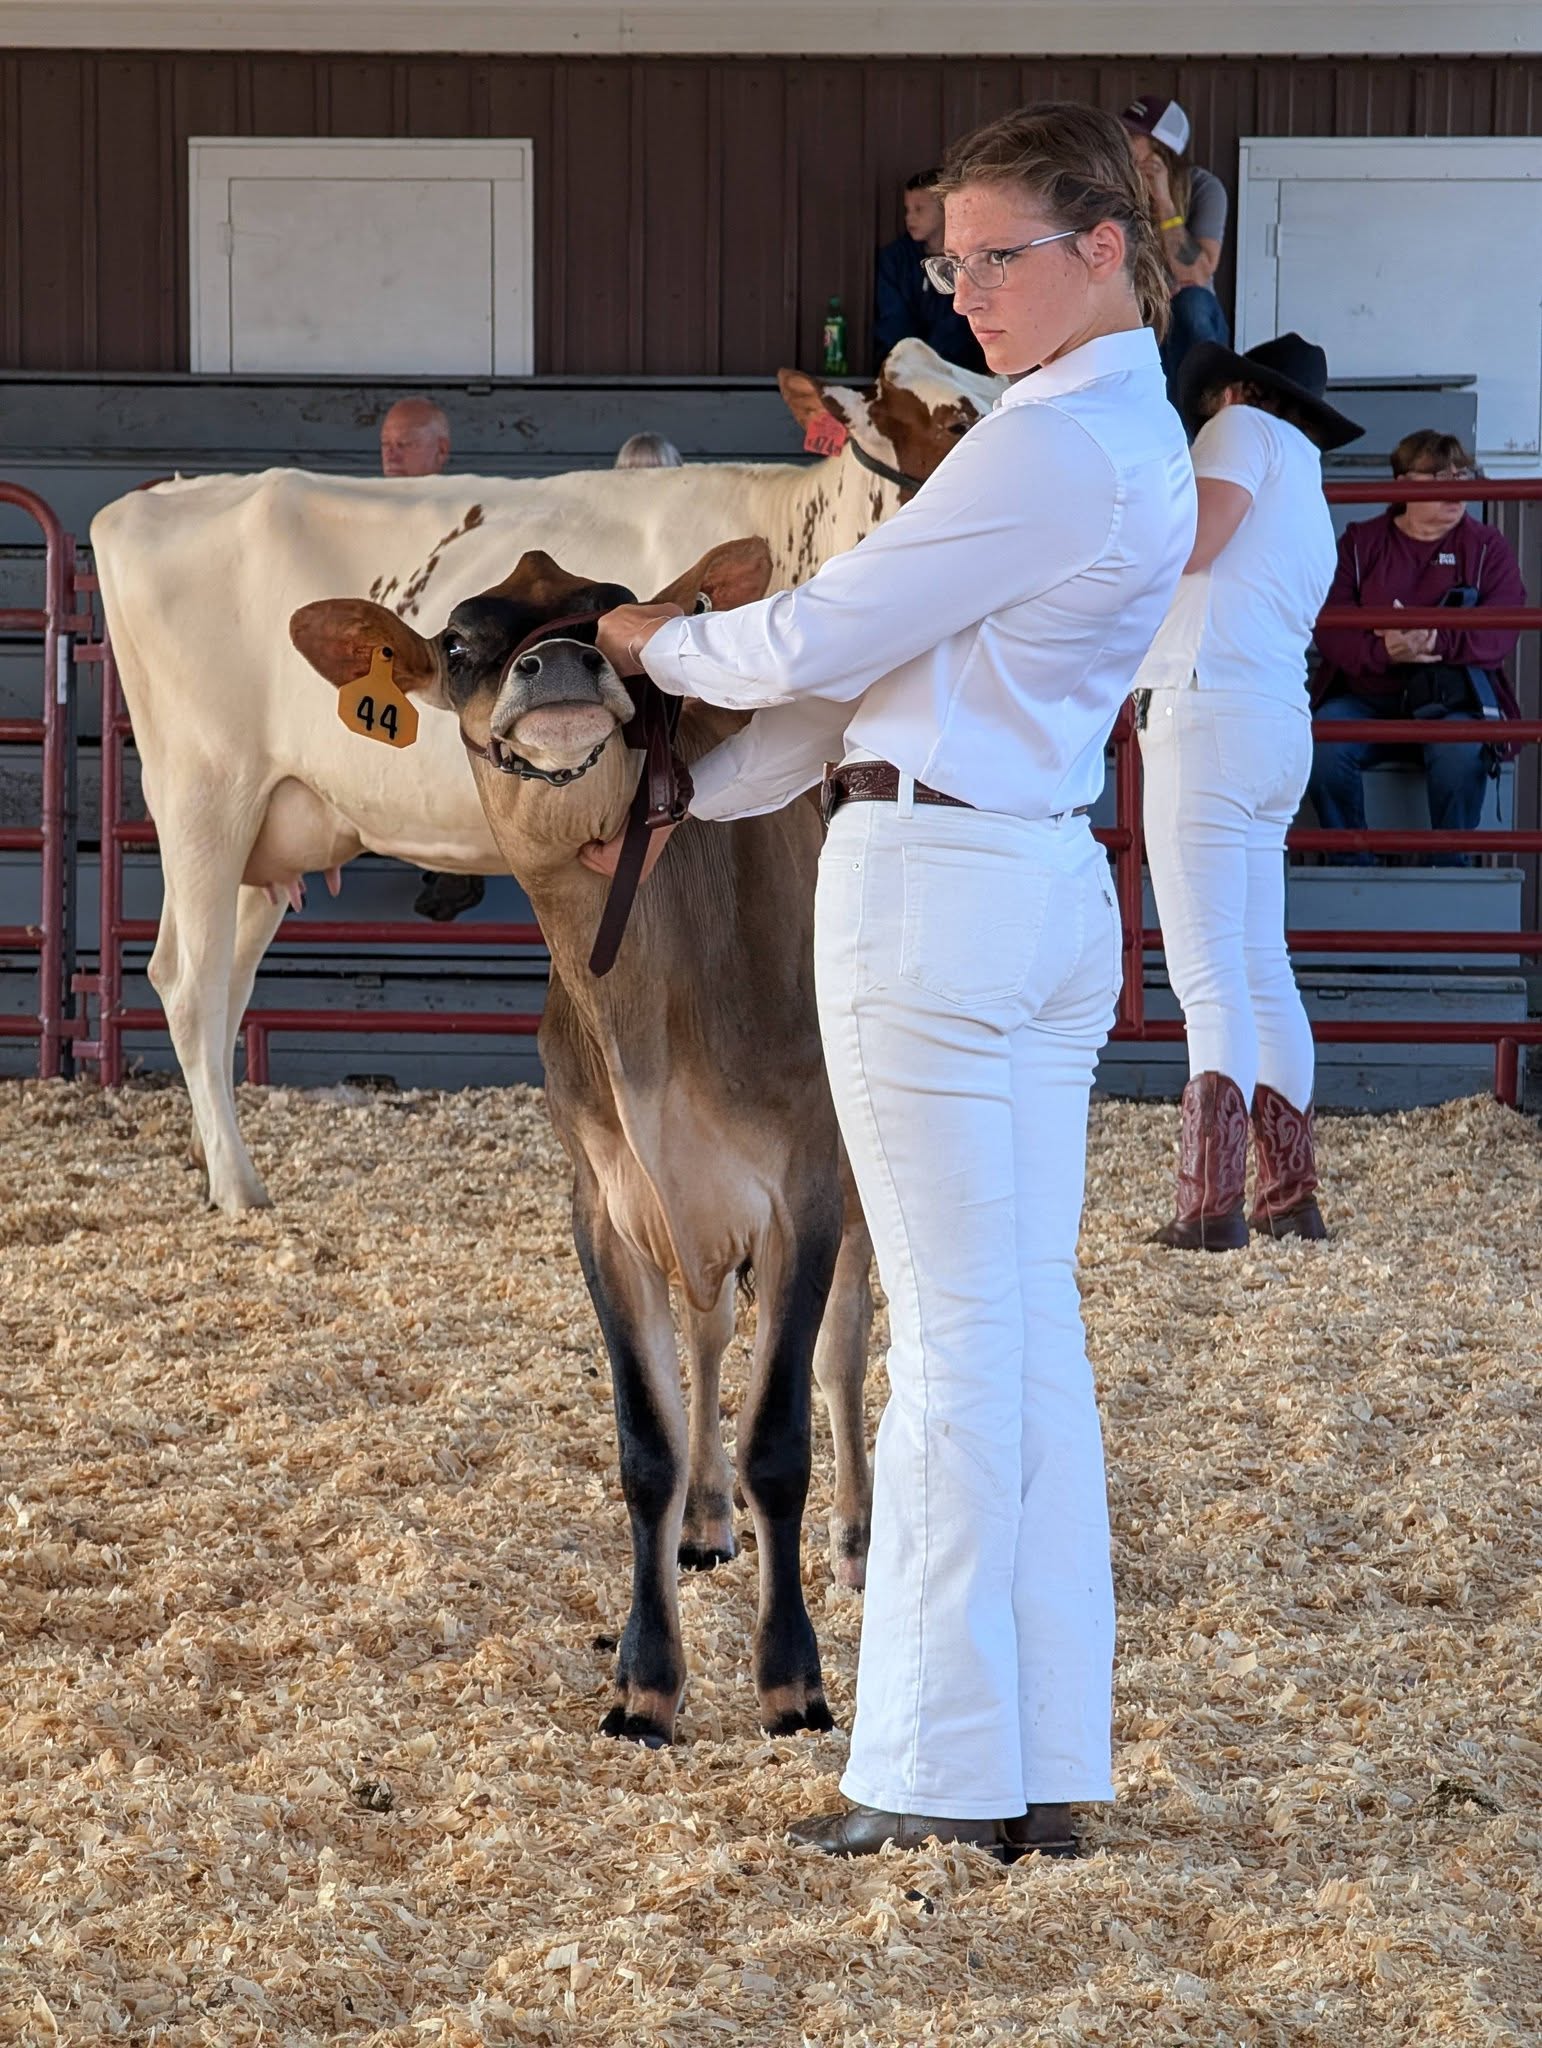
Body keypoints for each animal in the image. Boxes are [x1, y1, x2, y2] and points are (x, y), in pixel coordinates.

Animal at [88, 341, 1001, 1217]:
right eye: (957, 420)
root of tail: (150, 497)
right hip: (204, 791)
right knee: (191, 980)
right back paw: (237, 1185)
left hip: (272, 824)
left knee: (226, 980)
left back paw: (209, 1157)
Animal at [292, 536, 873, 1740]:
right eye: (460, 640)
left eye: (618, 614)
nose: (557, 661)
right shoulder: (605, 1203)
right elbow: (647, 1441)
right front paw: (646, 1682)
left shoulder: (801, 1189)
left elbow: (781, 1435)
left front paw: (790, 1678)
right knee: (708, 1334)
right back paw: (707, 1522)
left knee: (849, 1345)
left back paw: (856, 1541)